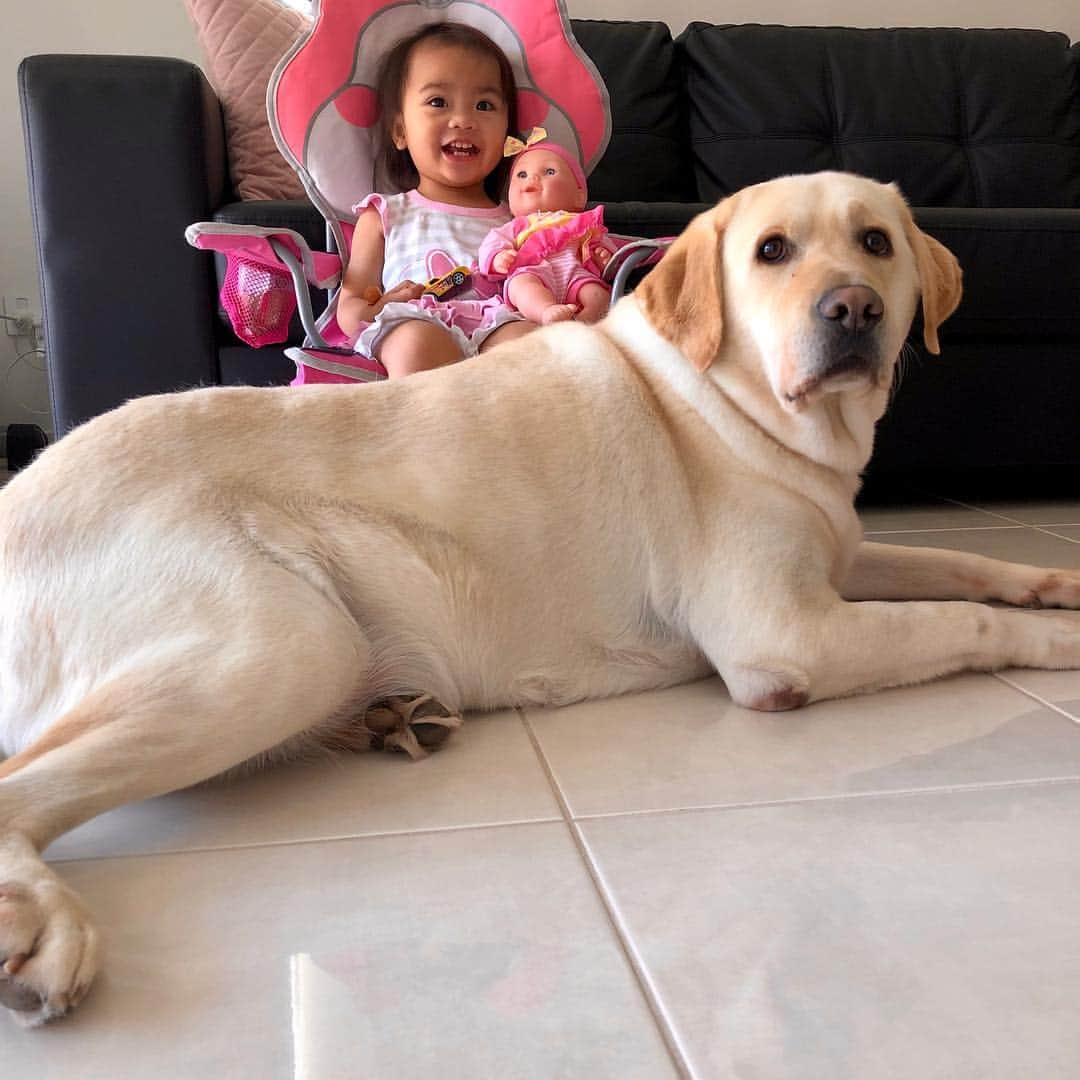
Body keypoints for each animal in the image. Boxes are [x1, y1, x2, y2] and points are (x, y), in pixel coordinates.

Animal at [2, 170, 1080, 1019]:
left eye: (877, 242)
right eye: (772, 251)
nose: (853, 309)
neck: (748, 407)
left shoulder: (839, 560)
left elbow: (961, 570)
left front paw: (1057, 584)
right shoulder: (787, 633)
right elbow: (960, 617)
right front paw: (1061, 640)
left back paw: (395, 717)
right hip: (283, 643)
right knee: (23, 790)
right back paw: (42, 927)